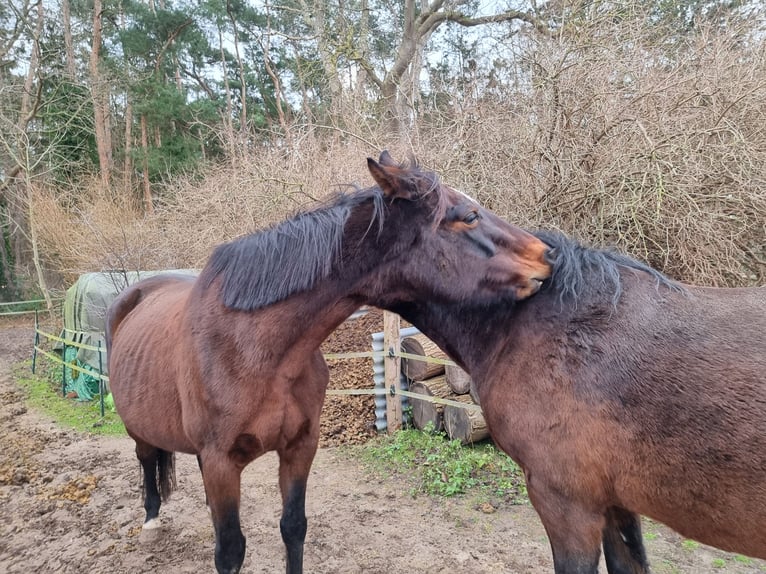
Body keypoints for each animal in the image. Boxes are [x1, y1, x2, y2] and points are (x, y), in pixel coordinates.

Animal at [105, 152, 556, 574]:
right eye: (469, 216)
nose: (548, 255)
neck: (256, 351)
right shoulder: (220, 461)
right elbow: (230, 551)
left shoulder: (300, 447)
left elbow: (293, 527)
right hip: (138, 428)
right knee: (146, 460)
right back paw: (150, 522)